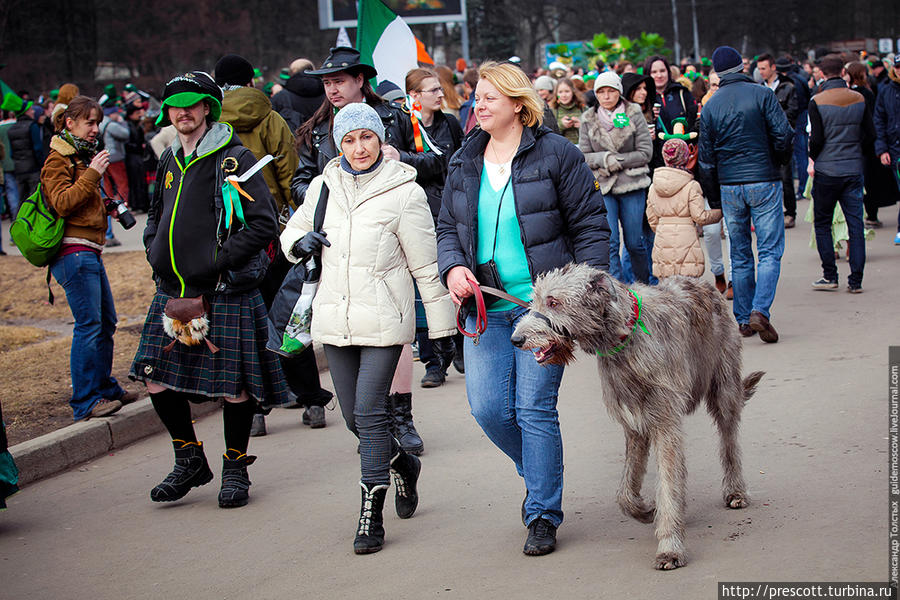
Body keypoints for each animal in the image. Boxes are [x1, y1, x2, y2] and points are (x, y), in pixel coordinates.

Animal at [510, 264, 764, 568]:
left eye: (553, 302)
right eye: (535, 299)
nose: (516, 339)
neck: (625, 335)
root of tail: (703, 284)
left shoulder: (666, 420)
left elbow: (668, 480)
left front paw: (670, 547)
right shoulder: (633, 421)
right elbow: (625, 492)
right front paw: (646, 510)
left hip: (724, 379)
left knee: (729, 439)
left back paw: (736, 490)